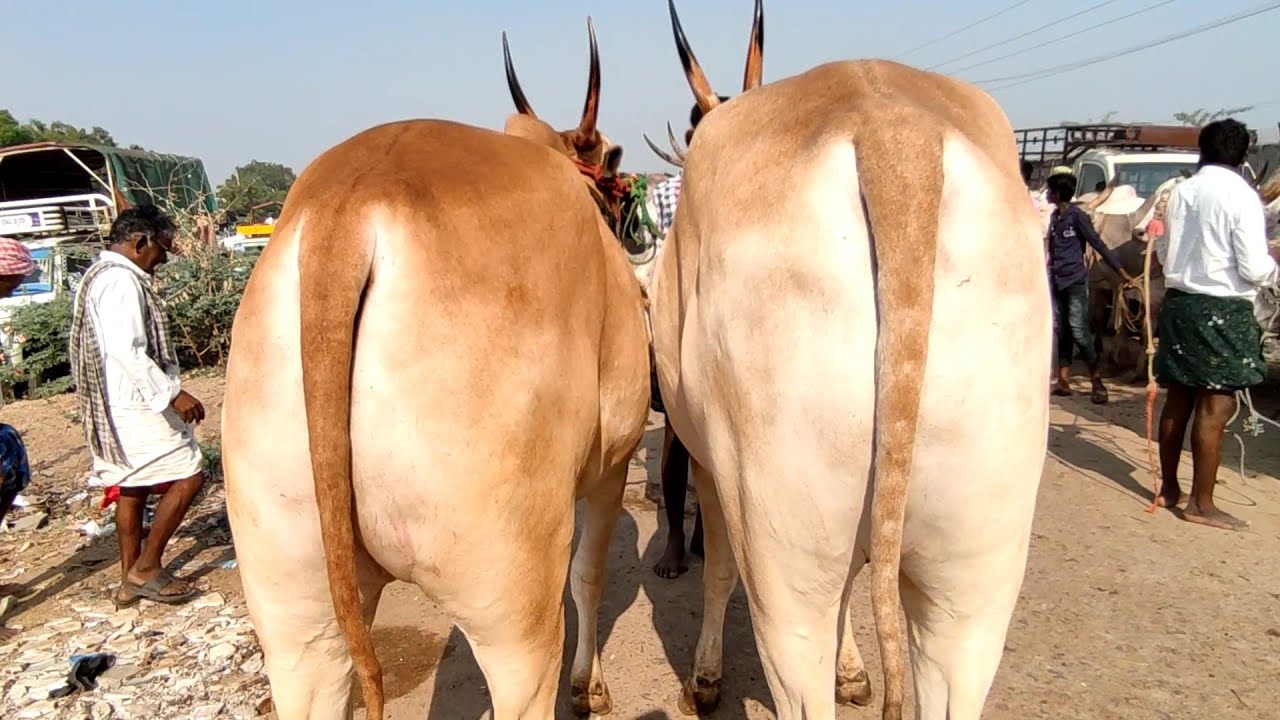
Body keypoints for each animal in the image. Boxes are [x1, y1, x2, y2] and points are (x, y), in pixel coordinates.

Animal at [220, 20, 650, 720]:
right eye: (613, 173)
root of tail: (345, 206)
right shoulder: (613, 461)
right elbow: (589, 576)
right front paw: (590, 687)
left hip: (290, 592)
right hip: (509, 595)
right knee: (525, 665)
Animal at [647, 2, 1051, 718]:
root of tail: (893, 129)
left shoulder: (711, 463)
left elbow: (719, 569)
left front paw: (707, 677)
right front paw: (855, 670)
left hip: (786, 548)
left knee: (796, 641)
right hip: (979, 563)